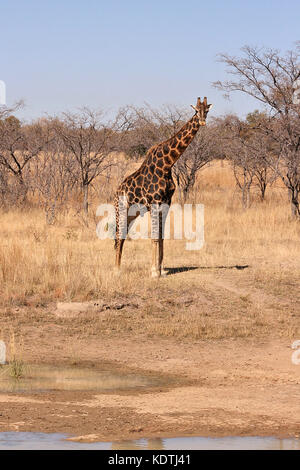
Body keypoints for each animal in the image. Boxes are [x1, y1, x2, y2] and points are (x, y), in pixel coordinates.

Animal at [113, 97, 212, 278]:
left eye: (206, 110)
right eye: (196, 111)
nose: (202, 121)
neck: (167, 164)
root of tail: (116, 192)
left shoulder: (166, 203)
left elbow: (162, 236)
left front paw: (162, 269)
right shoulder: (155, 203)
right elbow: (154, 237)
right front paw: (154, 272)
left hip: (132, 213)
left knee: (121, 236)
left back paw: (118, 267)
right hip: (121, 209)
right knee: (119, 235)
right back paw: (116, 270)